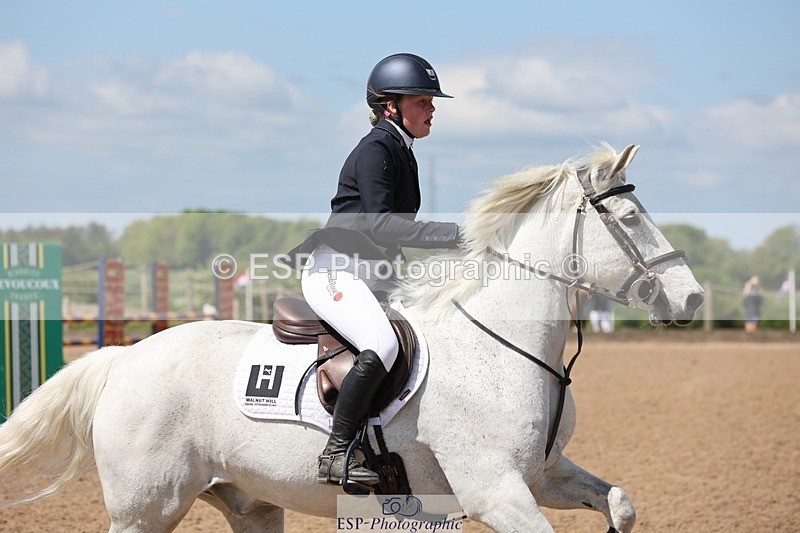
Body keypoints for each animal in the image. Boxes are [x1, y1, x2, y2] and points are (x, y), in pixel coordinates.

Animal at [0, 143, 704, 532]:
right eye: (629, 217)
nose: (692, 298)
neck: (503, 348)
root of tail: (125, 359)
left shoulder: (544, 475)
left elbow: (620, 505)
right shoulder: (496, 490)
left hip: (251, 504)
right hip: (145, 507)